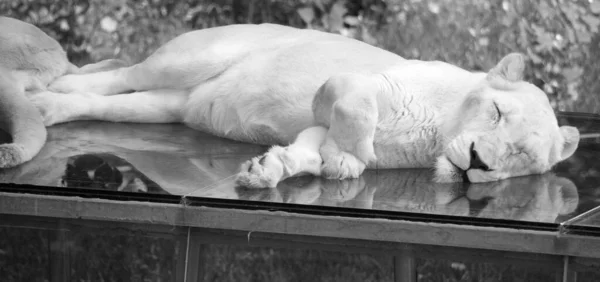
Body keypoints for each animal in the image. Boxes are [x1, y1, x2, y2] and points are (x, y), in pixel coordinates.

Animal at [30, 23, 580, 187]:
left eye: (521, 157)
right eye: (497, 114)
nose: (479, 163)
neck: (433, 135)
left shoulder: (316, 128)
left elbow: (306, 152)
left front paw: (269, 170)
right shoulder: (342, 86)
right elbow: (358, 116)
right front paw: (350, 159)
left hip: (167, 105)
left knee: (106, 103)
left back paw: (48, 109)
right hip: (183, 62)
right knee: (112, 73)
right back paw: (39, 95)